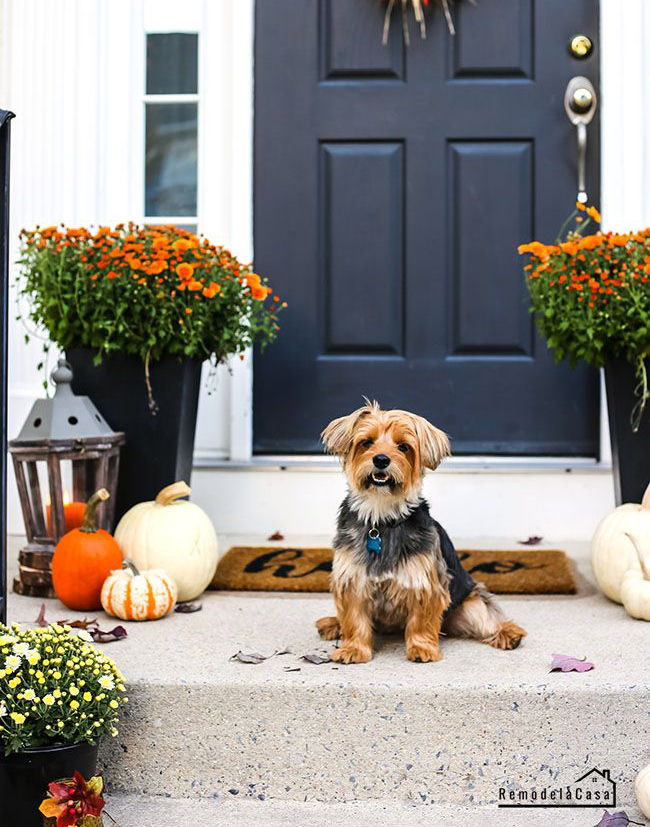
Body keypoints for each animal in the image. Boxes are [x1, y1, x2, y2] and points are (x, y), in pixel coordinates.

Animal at [316, 402, 528, 668]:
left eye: (403, 447)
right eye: (366, 442)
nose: (381, 459)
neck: (380, 519)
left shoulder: (426, 583)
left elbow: (421, 621)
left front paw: (422, 648)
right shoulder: (352, 580)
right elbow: (354, 619)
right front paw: (353, 648)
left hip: (470, 604)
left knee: (488, 617)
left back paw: (509, 633)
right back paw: (332, 624)